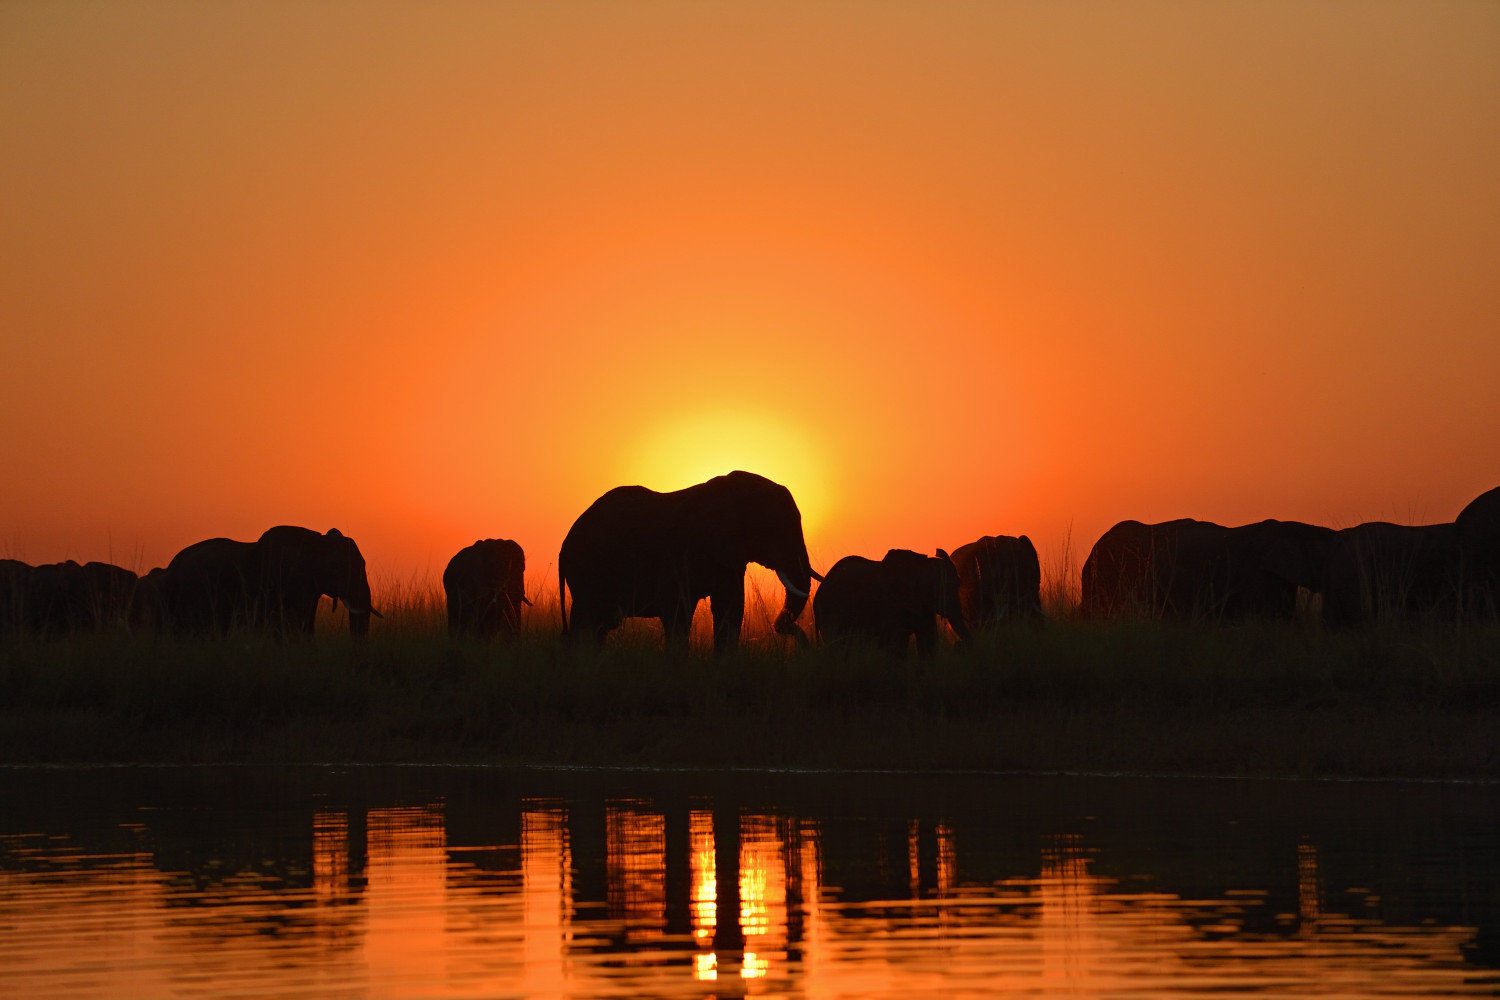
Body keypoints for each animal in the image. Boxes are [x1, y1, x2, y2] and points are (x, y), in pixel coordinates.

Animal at [561, 470, 828, 653]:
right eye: (776, 529)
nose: (791, 632)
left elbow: (730, 609)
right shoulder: (678, 553)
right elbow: (677, 612)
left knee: (598, 625)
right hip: (586, 571)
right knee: (587, 621)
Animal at [810, 548, 972, 656]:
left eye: (958, 585)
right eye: (939, 590)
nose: (958, 644)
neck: (921, 565)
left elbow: (928, 643)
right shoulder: (891, 603)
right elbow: (898, 644)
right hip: (830, 613)